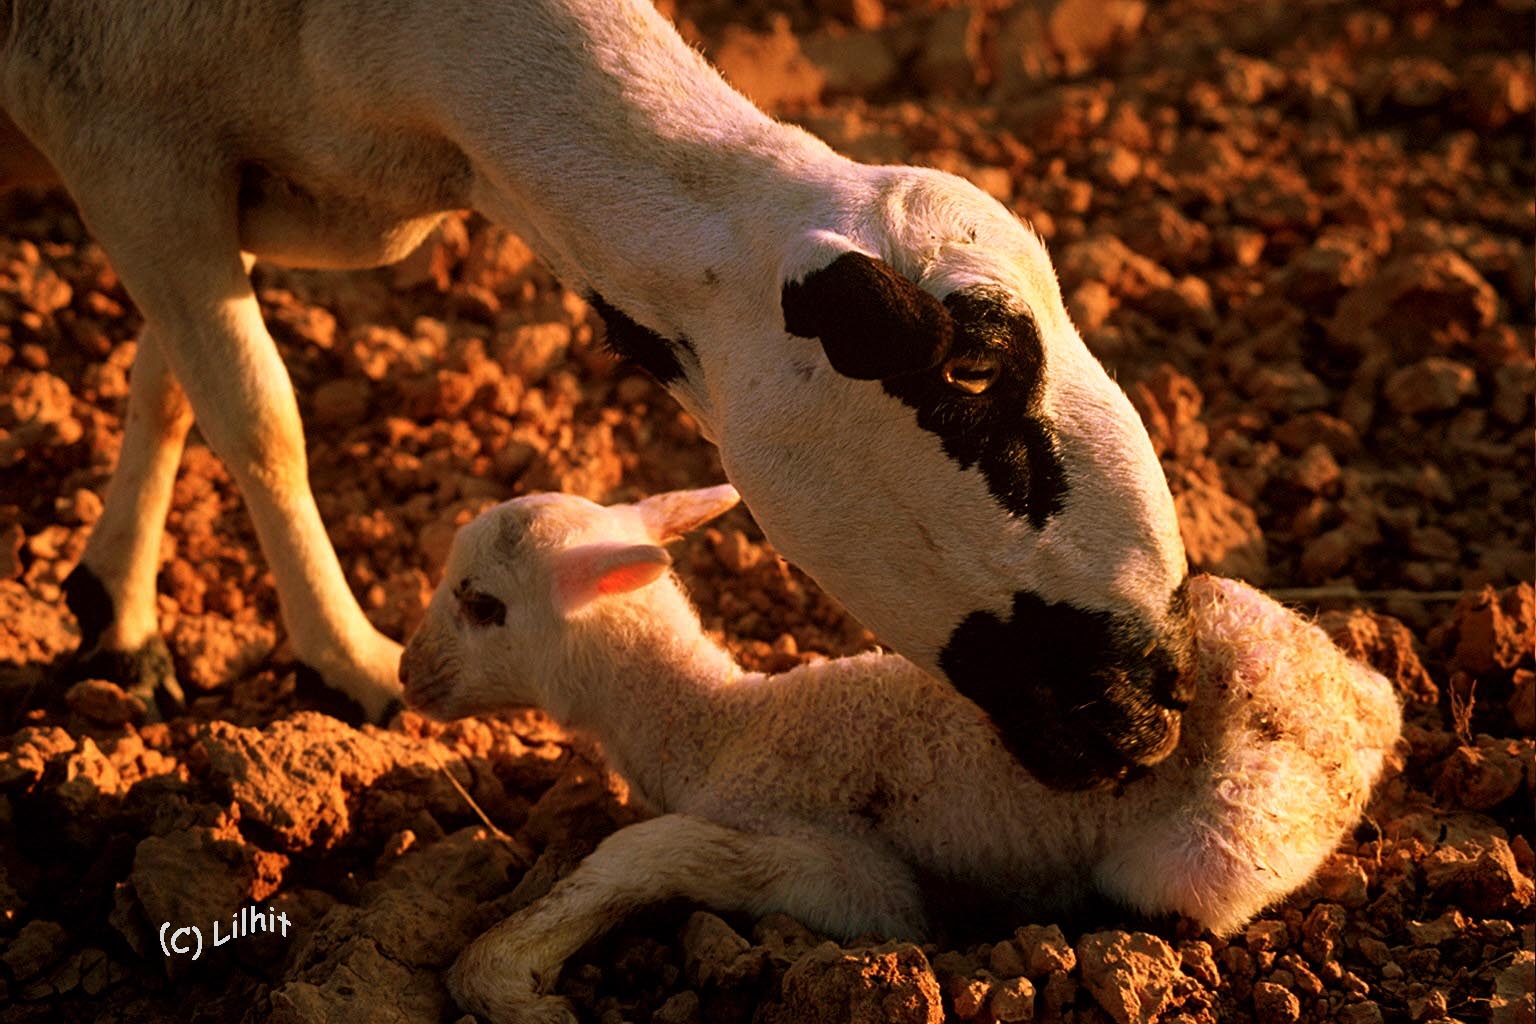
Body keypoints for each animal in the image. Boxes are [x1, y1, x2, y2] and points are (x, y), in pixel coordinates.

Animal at [399, 488, 1406, 1024]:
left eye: (483, 604)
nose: (409, 677)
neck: (717, 725)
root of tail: (1360, 715)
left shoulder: (853, 886)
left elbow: (649, 849)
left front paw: (507, 978)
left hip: (1218, 837)